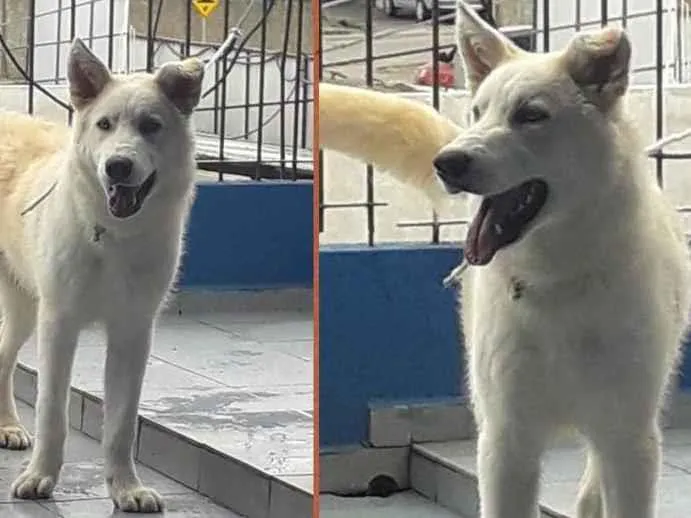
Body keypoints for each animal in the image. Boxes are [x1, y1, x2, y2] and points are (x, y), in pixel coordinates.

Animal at [0, 38, 203, 512]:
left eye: (151, 126)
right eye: (104, 125)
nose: (118, 167)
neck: (112, 238)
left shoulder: (133, 332)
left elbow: (122, 424)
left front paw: (125, 488)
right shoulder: (58, 325)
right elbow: (52, 413)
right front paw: (39, 477)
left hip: (23, 308)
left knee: (1, 355)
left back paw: (8, 426)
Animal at [320, 4, 691, 518]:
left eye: (531, 115)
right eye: (478, 111)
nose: (447, 162)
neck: (557, 280)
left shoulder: (628, 441)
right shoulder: (506, 442)